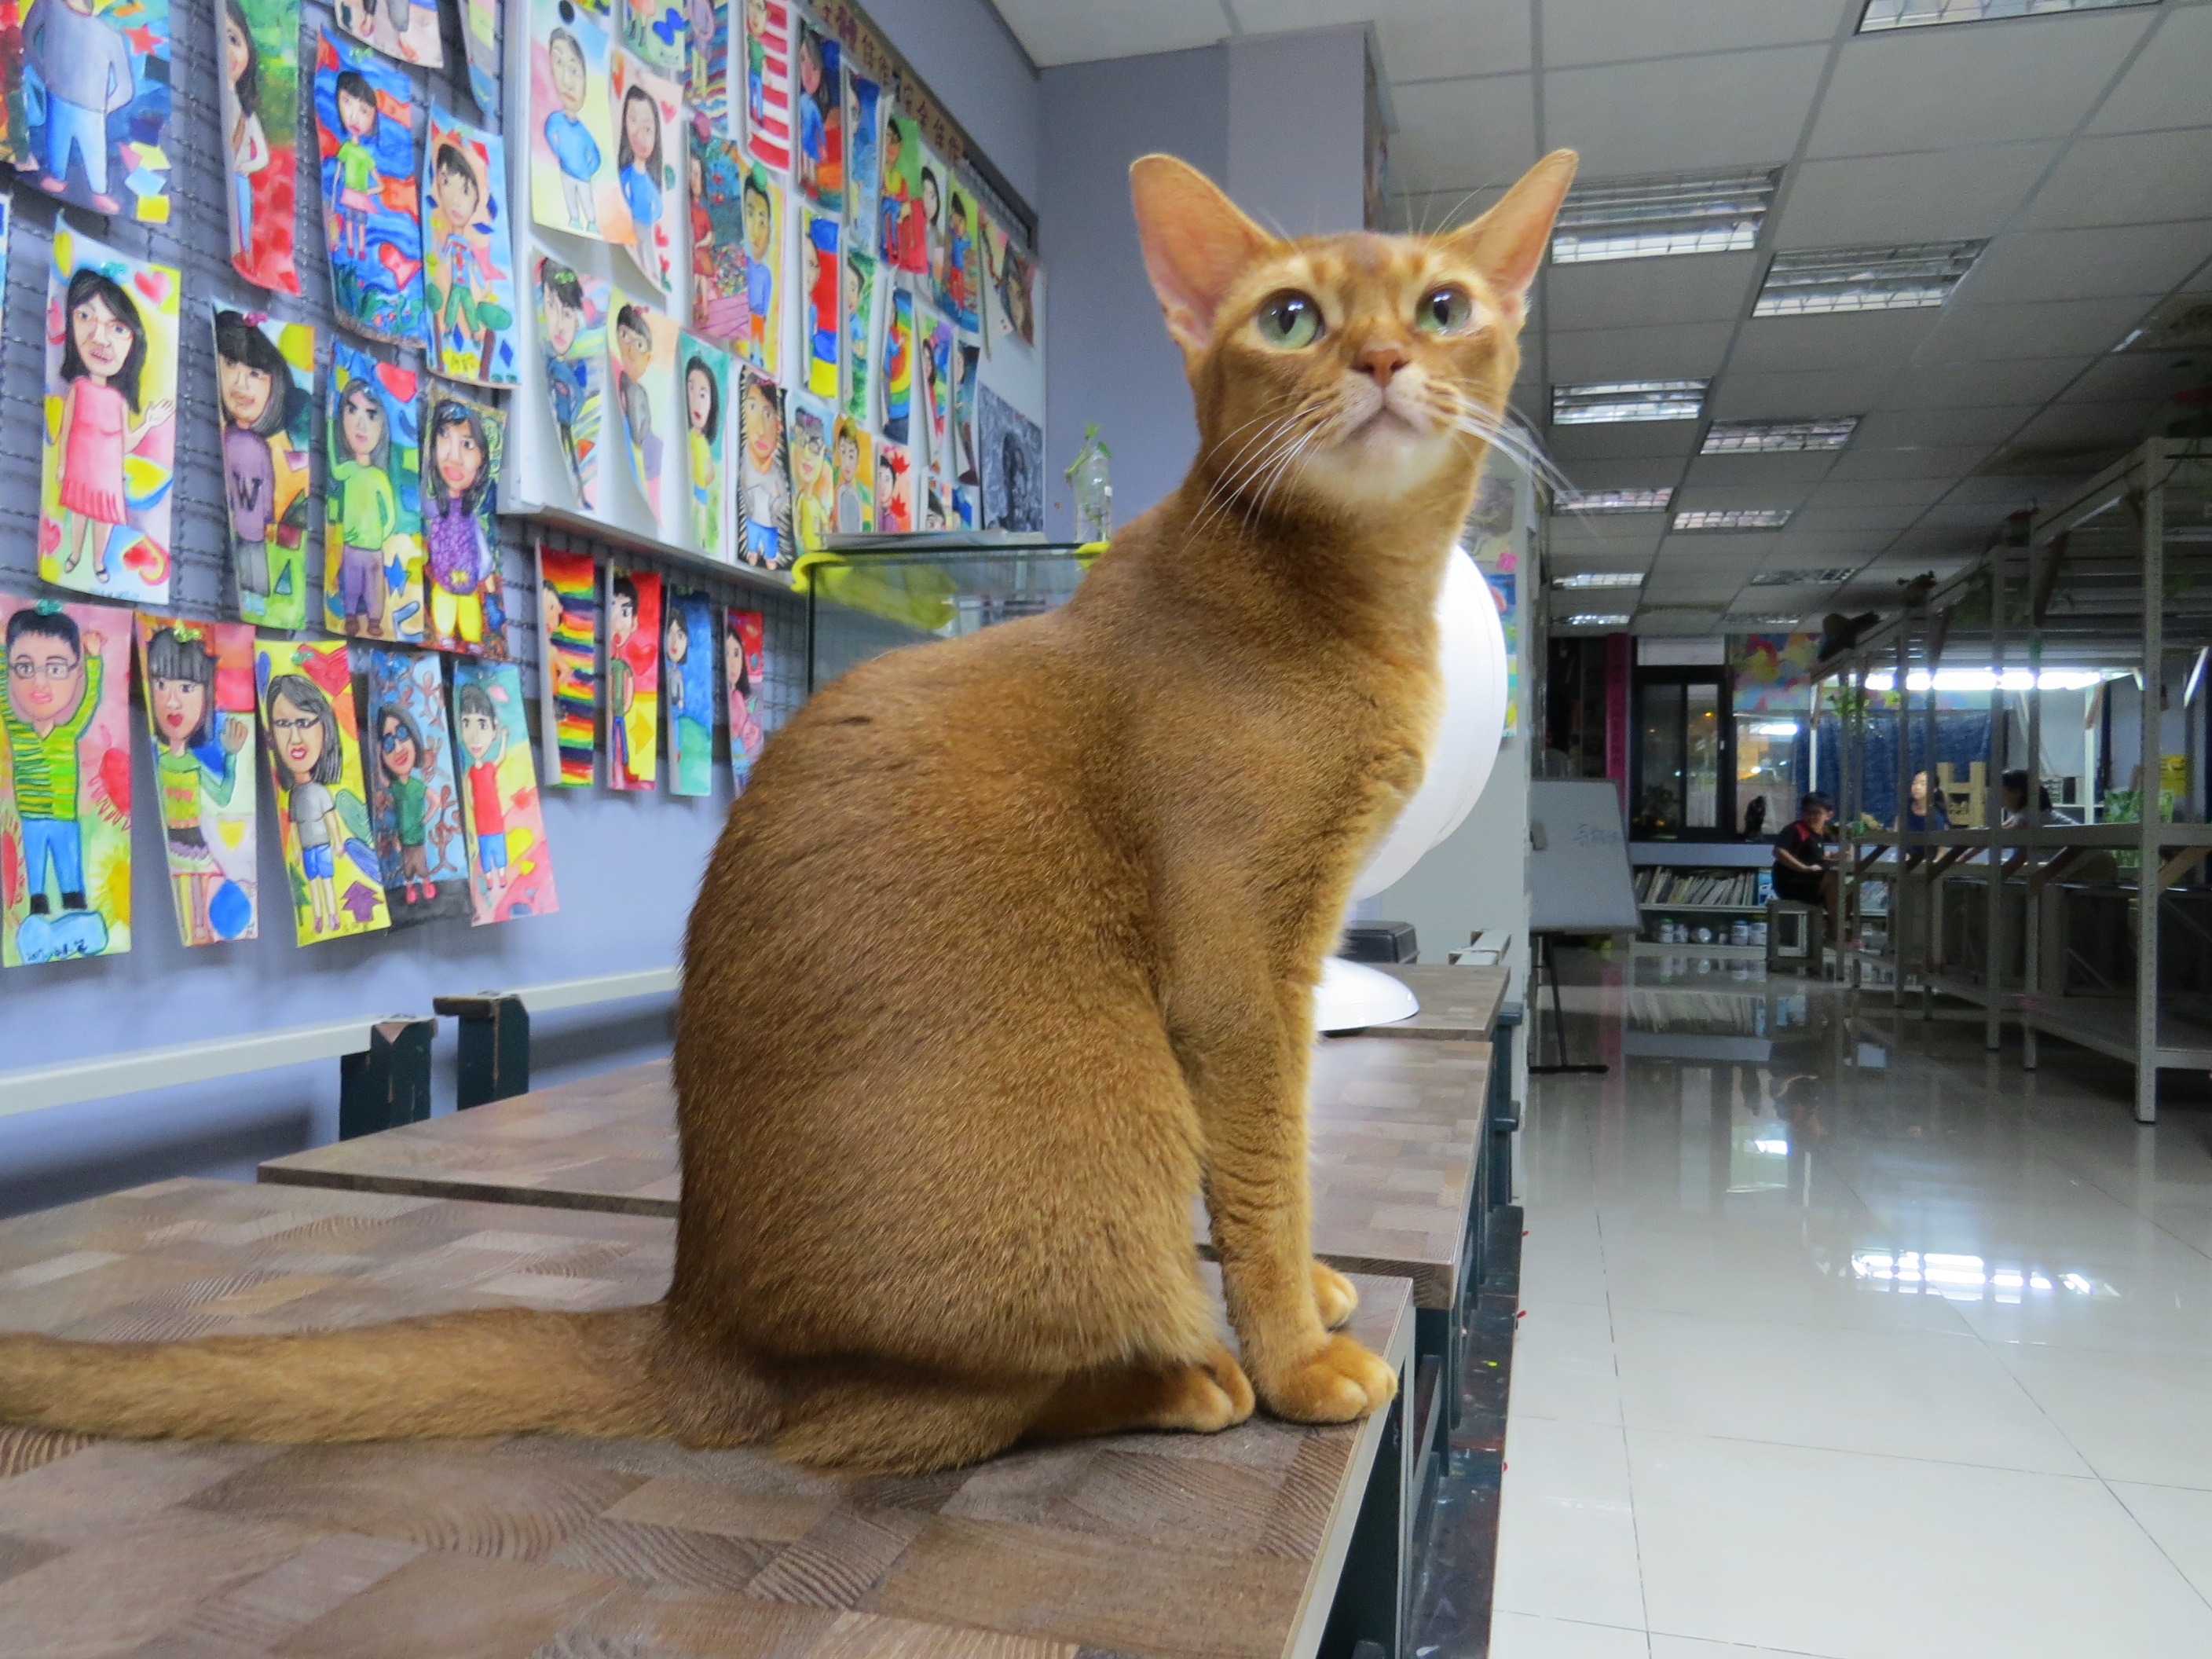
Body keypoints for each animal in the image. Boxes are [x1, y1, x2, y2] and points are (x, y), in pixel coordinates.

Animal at [0, 148, 1577, 1472]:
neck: (1348, 602)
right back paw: (1187, 1379)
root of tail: (695, 1318)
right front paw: (1301, 1349)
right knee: (878, 1426)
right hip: (1111, 1114)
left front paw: (1309, 1294)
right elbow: (1265, 1173)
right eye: (1293, 318)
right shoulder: (1242, 971)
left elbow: (1275, 1172)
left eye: (1443, 307)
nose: (1384, 358)